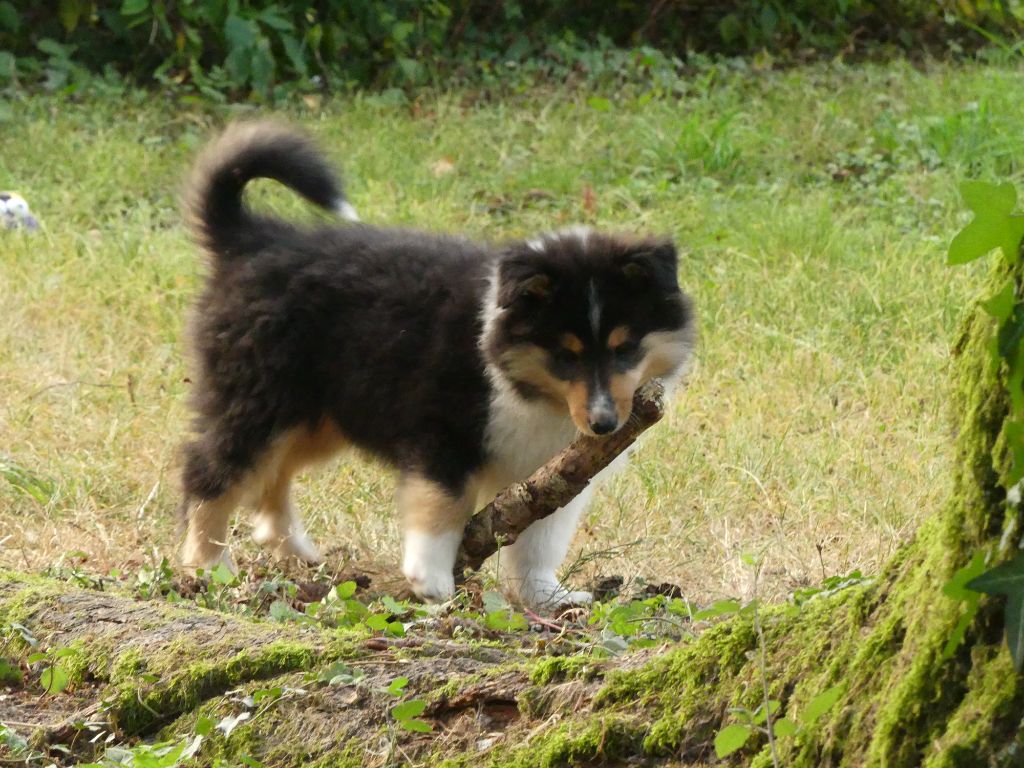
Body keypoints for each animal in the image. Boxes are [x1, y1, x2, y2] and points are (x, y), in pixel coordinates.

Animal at [178, 121, 696, 609]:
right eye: (565, 355)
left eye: (625, 349)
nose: (604, 425)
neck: (523, 385)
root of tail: (252, 240)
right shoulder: (441, 428)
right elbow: (444, 503)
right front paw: (431, 580)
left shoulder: (557, 467)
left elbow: (540, 538)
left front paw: (546, 598)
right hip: (260, 395)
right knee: (211, 469)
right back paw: (208, 565)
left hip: (319, 413)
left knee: (274, 475)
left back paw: (297, 551)